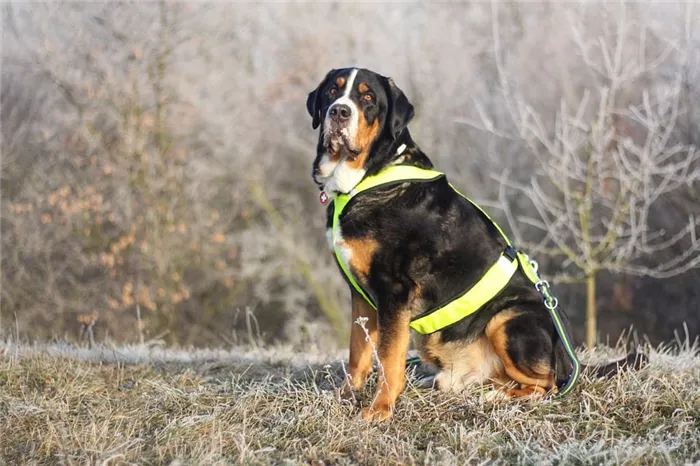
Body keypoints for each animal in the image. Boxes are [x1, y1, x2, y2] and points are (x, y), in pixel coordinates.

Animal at [306, 68, 644, 422]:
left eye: (368, 97)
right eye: (333, 91)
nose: (340, 112)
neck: (365, 179)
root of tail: (570, 359)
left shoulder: (394, 290)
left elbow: (388, 358)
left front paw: (379, 409)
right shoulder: (361, 294)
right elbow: (358, 351)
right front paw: (345, 395)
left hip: (508, 319)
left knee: (547, 385)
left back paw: (496, 397)